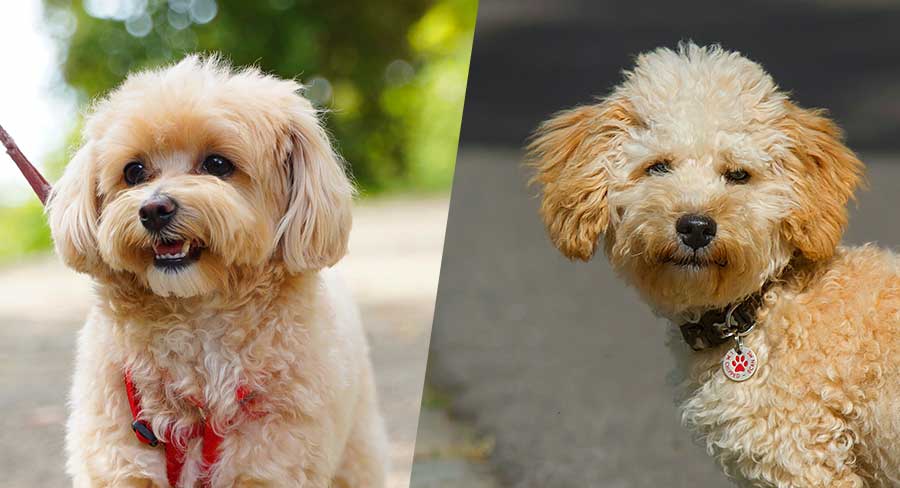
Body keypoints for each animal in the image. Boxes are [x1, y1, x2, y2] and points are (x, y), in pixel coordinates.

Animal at [46, 56, 386, 484]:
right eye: (134, 171)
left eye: (217, 164)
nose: (154, 209)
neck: (197, 320)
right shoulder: (120, 465)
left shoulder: (270, 465)